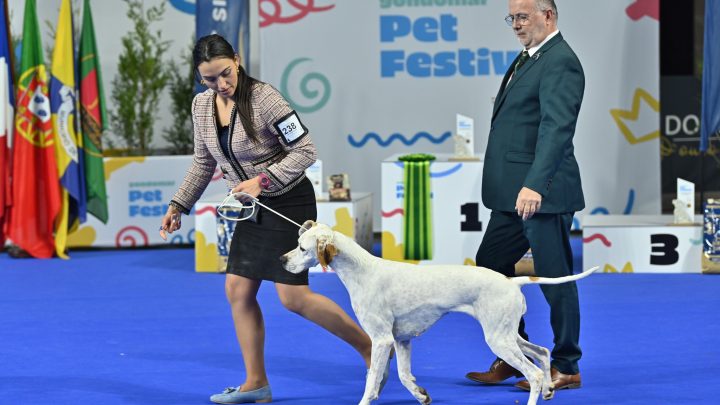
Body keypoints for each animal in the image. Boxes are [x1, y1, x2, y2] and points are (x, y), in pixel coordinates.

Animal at [282, 221, 596, 404]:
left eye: (301, 247)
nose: (282, 260)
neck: (363, 271)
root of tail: (511, 280)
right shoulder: (401, 340)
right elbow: (404, 375)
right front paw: (420, 394)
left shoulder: (381, 340)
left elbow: (372, 382)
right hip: (508, 335)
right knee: (542, 353)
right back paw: (549, 390)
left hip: (499, 339)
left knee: (534, 373)